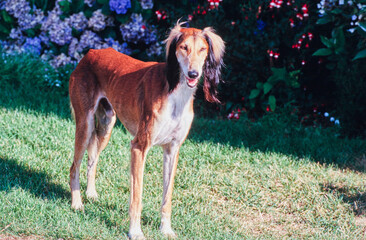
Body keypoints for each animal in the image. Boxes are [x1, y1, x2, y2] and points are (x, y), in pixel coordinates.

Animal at [68, 22, 223, 238]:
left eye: (203, 49)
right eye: (184, 48)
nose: (193, 74)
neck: (175, 91)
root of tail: (91, 52)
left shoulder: (172, 150)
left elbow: (167, 197)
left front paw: (166, 229)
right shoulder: (139, 147)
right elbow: (136, 197)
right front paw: (135, 232)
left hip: (106, 124)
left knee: (93, 160)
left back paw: (90, 193)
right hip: (85, 123)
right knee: (74, 167)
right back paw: (77, 203)